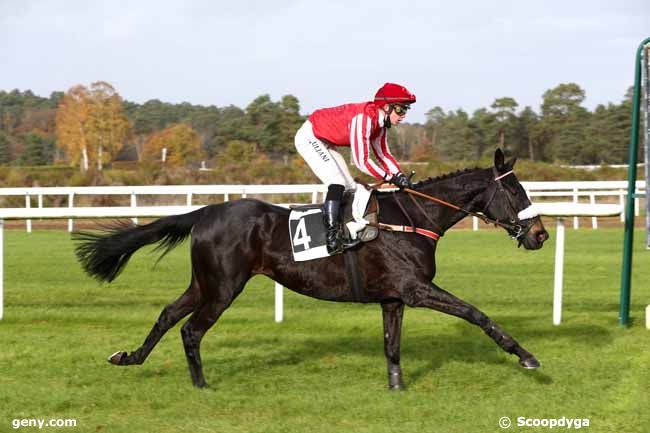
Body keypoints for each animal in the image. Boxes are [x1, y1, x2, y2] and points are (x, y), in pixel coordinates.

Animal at [76, 148, 548, 388]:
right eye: (517, 191)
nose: (541, 234)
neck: (413, 217)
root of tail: (206, 211)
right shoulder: (415, 289)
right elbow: (475, 313)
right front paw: (525, 356)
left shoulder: (393, 296)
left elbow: (392, 345)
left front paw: (396, 387)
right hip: (224, 287)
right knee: (191, 330)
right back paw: (201, 385)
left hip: (204, 282)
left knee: (167, 315)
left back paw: (129, 357)